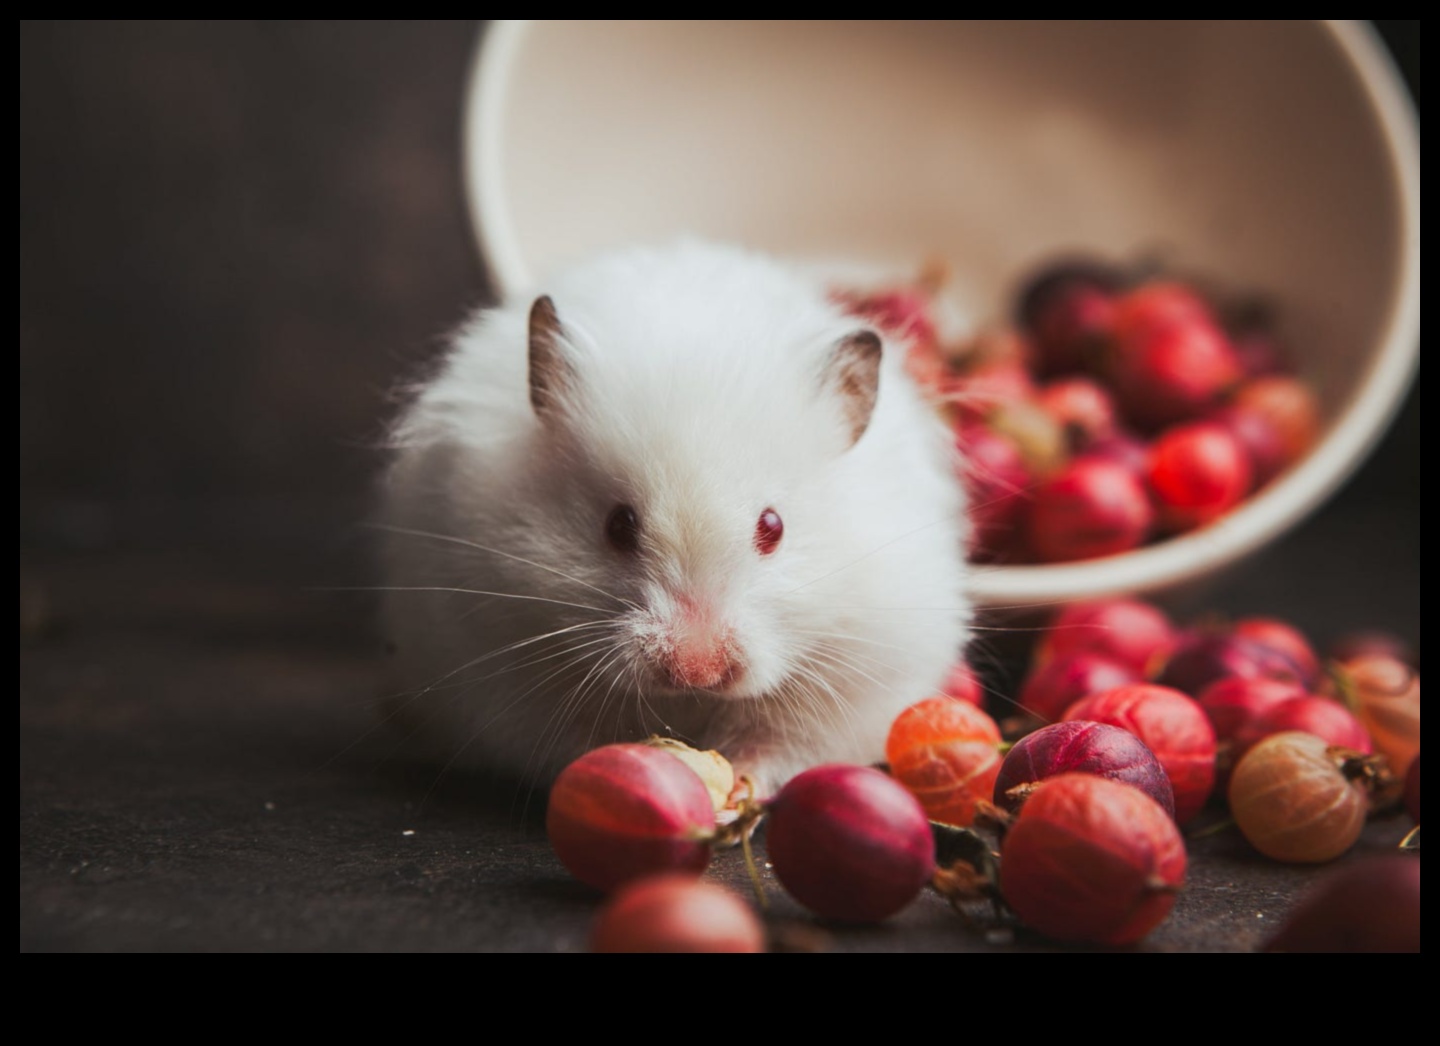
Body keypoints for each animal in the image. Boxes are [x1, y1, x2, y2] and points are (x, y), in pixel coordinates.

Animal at [377, 242, 973, 801]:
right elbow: (576, 739)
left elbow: (777, 743)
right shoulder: (497, 662)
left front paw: (738, 787)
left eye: (773, 527)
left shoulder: (854, 681)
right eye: (618, 526)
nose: (696, 672)